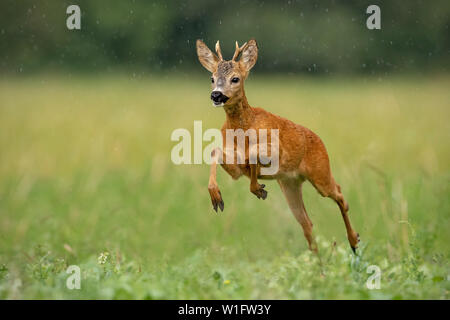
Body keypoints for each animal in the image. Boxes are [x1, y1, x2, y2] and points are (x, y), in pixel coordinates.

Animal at [195, 38, 360, 252]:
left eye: (235, 79)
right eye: (212, 78)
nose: (216, 95)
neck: (243, 130)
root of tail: (320, 140)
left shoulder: (275, 150)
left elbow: (253, 154)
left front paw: (258, 187)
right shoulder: (236, 170)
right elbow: (215, 151)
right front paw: (217, 197)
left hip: (320, 173)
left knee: (340, 195)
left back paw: (354, 241)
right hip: (289, 183)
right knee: (307, 223)